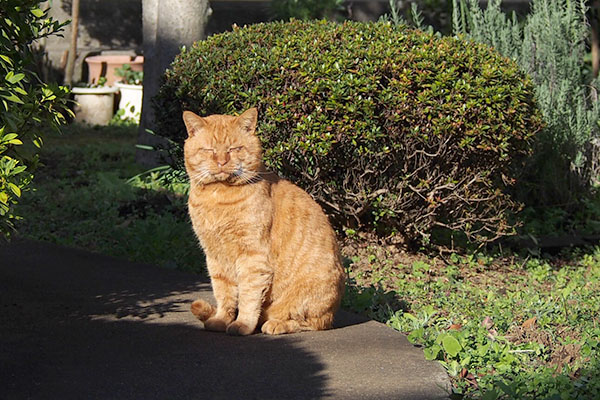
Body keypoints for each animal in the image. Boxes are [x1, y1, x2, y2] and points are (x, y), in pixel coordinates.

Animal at [180, 108, 344, 336]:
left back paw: (275, 324)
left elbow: (248, 296)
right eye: (209, 150)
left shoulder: (253, 256)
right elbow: (224, 293)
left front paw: (241, 325)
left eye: (234, 149)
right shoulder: (215, 256)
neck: (218, 197)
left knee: (309, 322)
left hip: (311, 298)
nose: (221, 162)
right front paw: (221, 320)